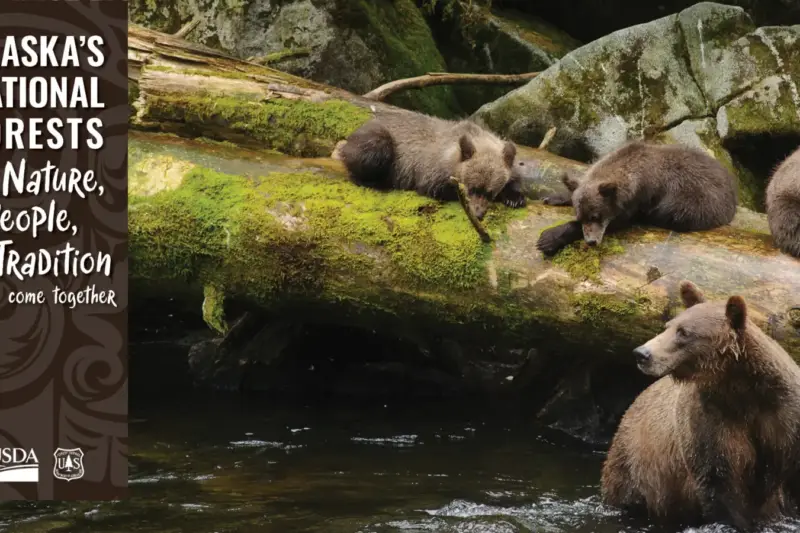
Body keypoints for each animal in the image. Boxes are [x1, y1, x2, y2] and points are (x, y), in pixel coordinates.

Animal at [337, 111, 526, 220]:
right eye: (471, 188)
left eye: (490, 192)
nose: (478, 214)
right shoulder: (431, 170)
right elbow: (435, 187)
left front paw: (515, 197)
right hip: (379, 140)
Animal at [536, 141, 739, 256]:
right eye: (581, 216)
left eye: (596, 216)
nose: (591, 241)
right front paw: (554, 197)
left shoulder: (640, 199)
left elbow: (621, 220)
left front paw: (548, 238)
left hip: (698, 202)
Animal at [600, 280, 800, 532]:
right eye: (668, 326)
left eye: (683, 332)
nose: (642, 353)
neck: (739, 386)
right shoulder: (711, 419)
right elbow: (718, 479)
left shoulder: (783, 417)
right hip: (636, 466)